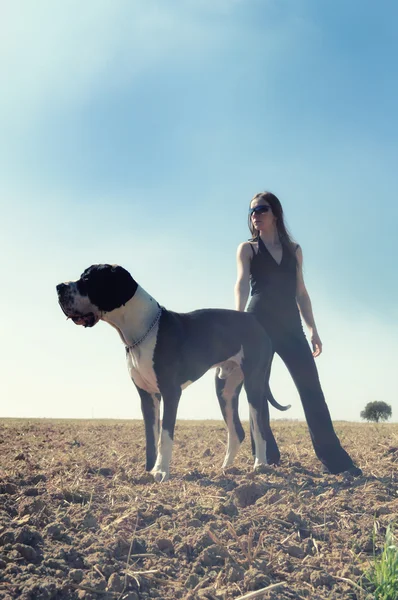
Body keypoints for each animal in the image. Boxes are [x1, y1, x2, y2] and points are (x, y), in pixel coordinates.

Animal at [56, 264, 288, 480]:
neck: (141, 331)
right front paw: (149, 470)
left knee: (259, 427)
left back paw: (260, 465)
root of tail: (255, 321)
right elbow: (151, 437)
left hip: (253, 384)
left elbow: (165, 435)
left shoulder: (170, 392)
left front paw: (161, 471)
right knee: (237, 431)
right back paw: (226, 469)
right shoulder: (147, 396)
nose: (59, 287)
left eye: (88, 279)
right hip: (225, 390)